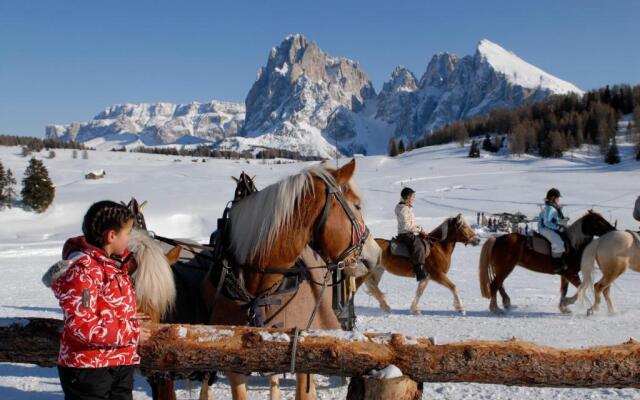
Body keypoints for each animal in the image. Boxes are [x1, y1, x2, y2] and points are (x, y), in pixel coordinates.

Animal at [478, 211, 616, 314]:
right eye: (599, 221)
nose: (613, 229)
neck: (573, 244)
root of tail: (497, 240)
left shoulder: (565, 275)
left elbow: (564, 290)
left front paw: (564, 307)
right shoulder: (571, 274)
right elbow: (581, 289)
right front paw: (572, 304)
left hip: (502, 268)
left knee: (499, 284)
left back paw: (506, 303)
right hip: (505, 268)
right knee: (494, 285)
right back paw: (496, 309)